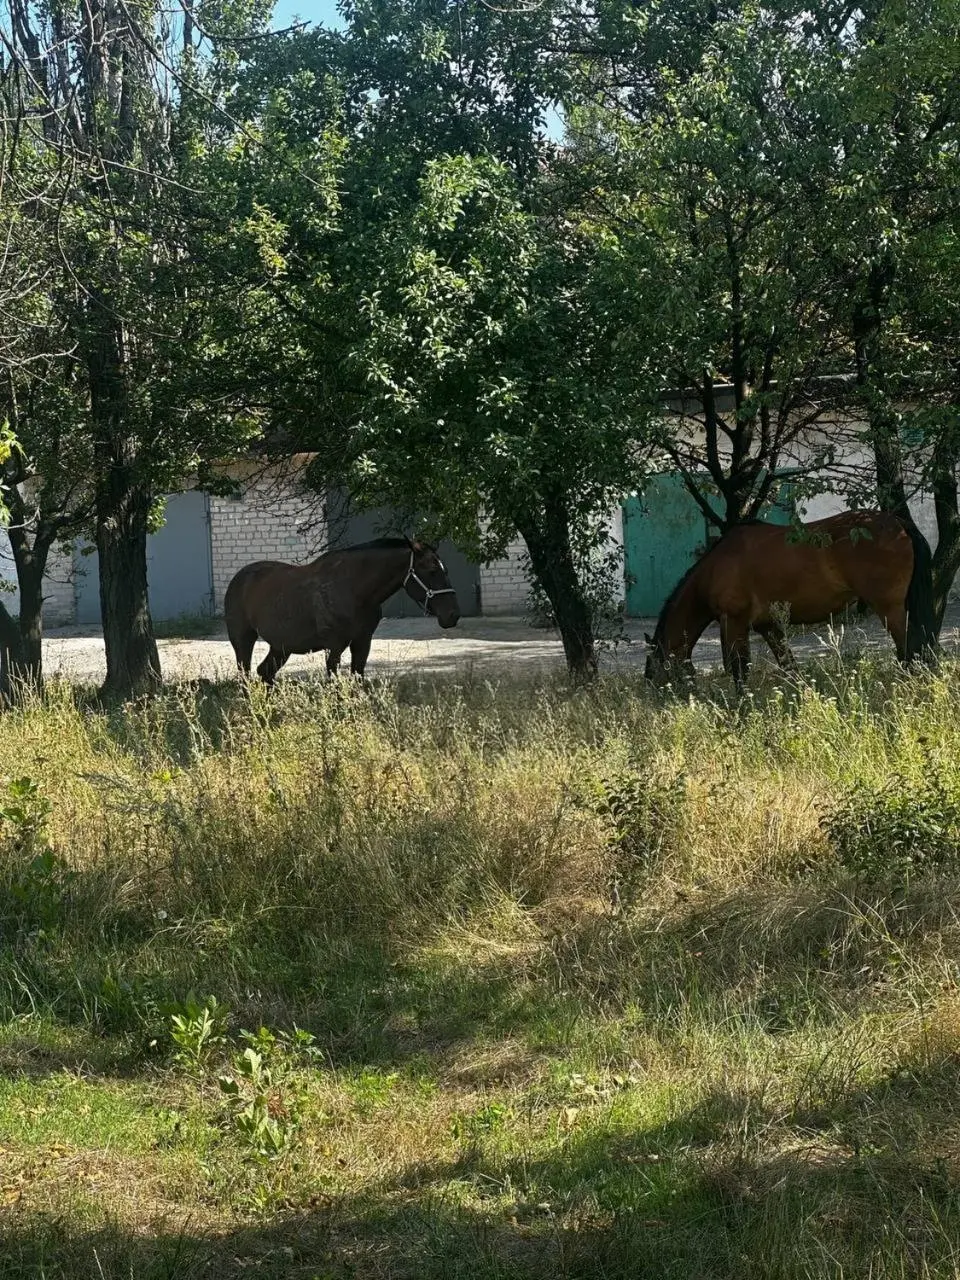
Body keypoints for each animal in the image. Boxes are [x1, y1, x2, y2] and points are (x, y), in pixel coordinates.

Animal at [224, 537, 460, 685]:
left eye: (445, 570)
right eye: (431, 571)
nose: (452, 615)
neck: (354, 589)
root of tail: (238, 579)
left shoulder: (362, 643)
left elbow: (357, 680)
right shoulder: (334, 647)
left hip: (281, 647)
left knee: (265, 673)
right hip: (243, 641)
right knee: (246, 675)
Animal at [644, 510, 937, 691]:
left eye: (656, 670)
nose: (658, 700)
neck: (716, 566)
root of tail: (899, 524)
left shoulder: (734, 622)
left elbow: (739, 670)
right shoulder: (769, 626)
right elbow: (789, 667)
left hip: (890, 609)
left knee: (909, 649)